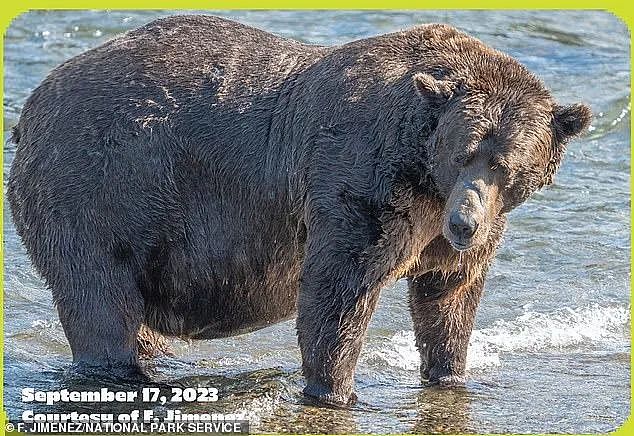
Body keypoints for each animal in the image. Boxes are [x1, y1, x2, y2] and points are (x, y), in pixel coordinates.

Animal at [7, 15, 588, 408]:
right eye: (464, 152)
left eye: (505, 164)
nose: (465, 222)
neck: (423, 173)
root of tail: (29, 108)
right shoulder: (358, 183)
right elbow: (338, 292)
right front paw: (336, 391)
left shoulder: (444, 229)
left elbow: (449, 296)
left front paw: (450, 373)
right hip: (99, 187)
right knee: (100, 297)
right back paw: (124, 372)